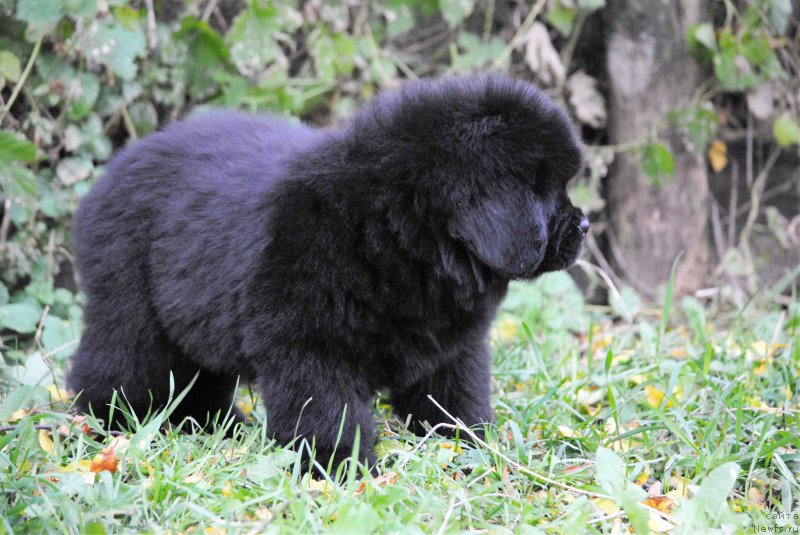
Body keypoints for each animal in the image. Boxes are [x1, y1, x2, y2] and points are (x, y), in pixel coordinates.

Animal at [69, 74, 588, 474]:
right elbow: (326, 412)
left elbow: (455, 396)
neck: (398, 232)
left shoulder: (450, 349)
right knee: (115, 368)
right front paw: (340, 472)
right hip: (131, 311)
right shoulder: (309, 347)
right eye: (546, 191)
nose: (585, 225)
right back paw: (106, 430)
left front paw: (473, 449)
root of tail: (110, 174)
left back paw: (219, 427)